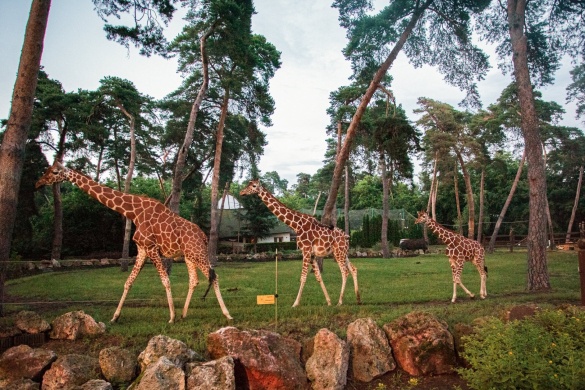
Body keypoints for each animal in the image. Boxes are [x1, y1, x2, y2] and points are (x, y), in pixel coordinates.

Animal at [34, 161, 233, 322]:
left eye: (54, 172)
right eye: (47, 170)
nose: (38, 183)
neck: (133, 212)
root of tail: (204, 236)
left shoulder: (151, 248)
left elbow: (165, 280)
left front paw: (171, 317)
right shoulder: (142, 249)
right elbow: (128, 282)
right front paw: (115, 317)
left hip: (197, 253)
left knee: (214, 276)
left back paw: (227, 314)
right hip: (189, 256)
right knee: (195, 280)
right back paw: (185, 314)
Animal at [238, 180, 358, 308]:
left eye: (254, 185)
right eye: (248, 183)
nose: (241, 192)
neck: (296, 225)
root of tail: (347, 237)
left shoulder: (306, 251)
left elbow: (303, 277)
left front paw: (295, 303)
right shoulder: (312, 254)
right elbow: (318, 277)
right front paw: (329, 301)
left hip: (338, 252)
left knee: (345, 272)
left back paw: (340, 302)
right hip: (343, 253)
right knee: (353, 269)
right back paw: (358, 298)